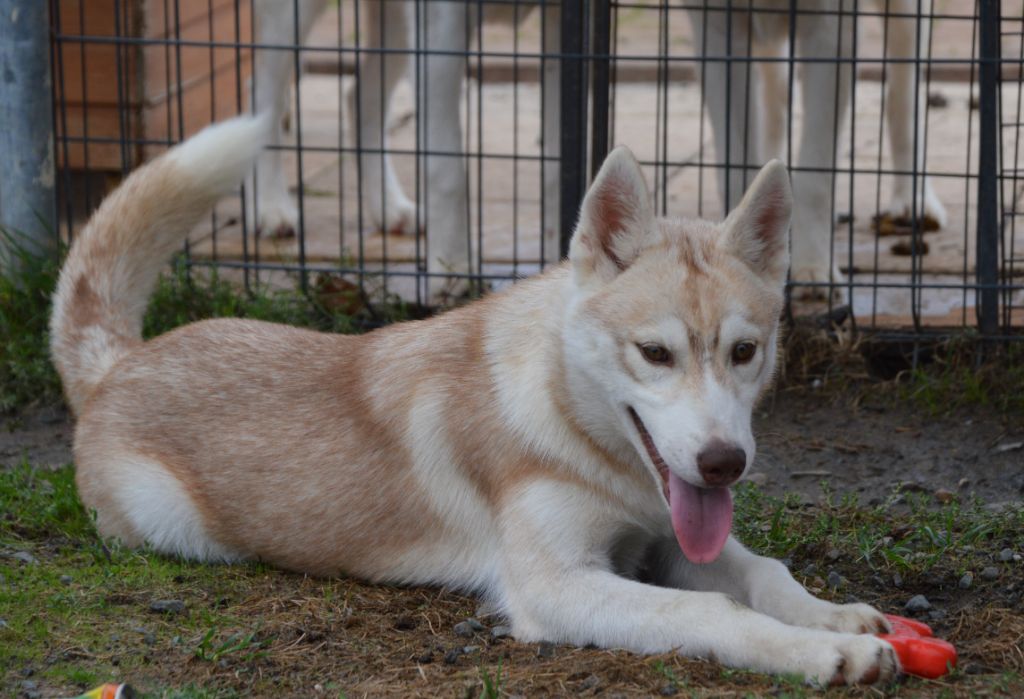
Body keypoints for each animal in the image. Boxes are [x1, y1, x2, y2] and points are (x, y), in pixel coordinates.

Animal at [52, 115, 899, 685]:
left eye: (745, 352)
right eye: (655, 353)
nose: (725, 463)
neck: (573, 425)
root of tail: (119, 359)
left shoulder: (664, 539)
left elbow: (765, 575)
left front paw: (833, 615)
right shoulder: (559, 587)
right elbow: (713, 613)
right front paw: (824, 650)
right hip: (171, 524)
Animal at [688, 0, 948, 295]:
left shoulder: (830, 30)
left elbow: (815, 180)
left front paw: (813, 267)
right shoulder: (717, 30)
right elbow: (737, 172)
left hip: (906, 20)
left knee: (903, 99)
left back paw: (913, 199)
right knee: (778, 98)